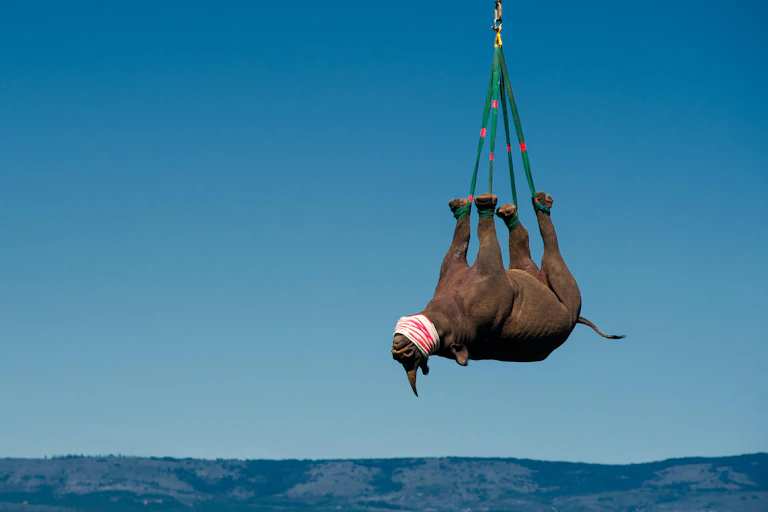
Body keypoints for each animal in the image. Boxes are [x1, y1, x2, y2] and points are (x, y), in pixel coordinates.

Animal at [391, 192, 623, 396]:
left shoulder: (456, 266)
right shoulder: (489, 267)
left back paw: (527, 205)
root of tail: (576, 319)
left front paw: (464, 206)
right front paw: (481, 205)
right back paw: (534, 205)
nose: (399, 350)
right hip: (564, 291)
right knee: (547, 252)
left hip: (536, 276)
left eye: (410, 354)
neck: (455, 307)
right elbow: (482, 236)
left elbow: (463, 235)